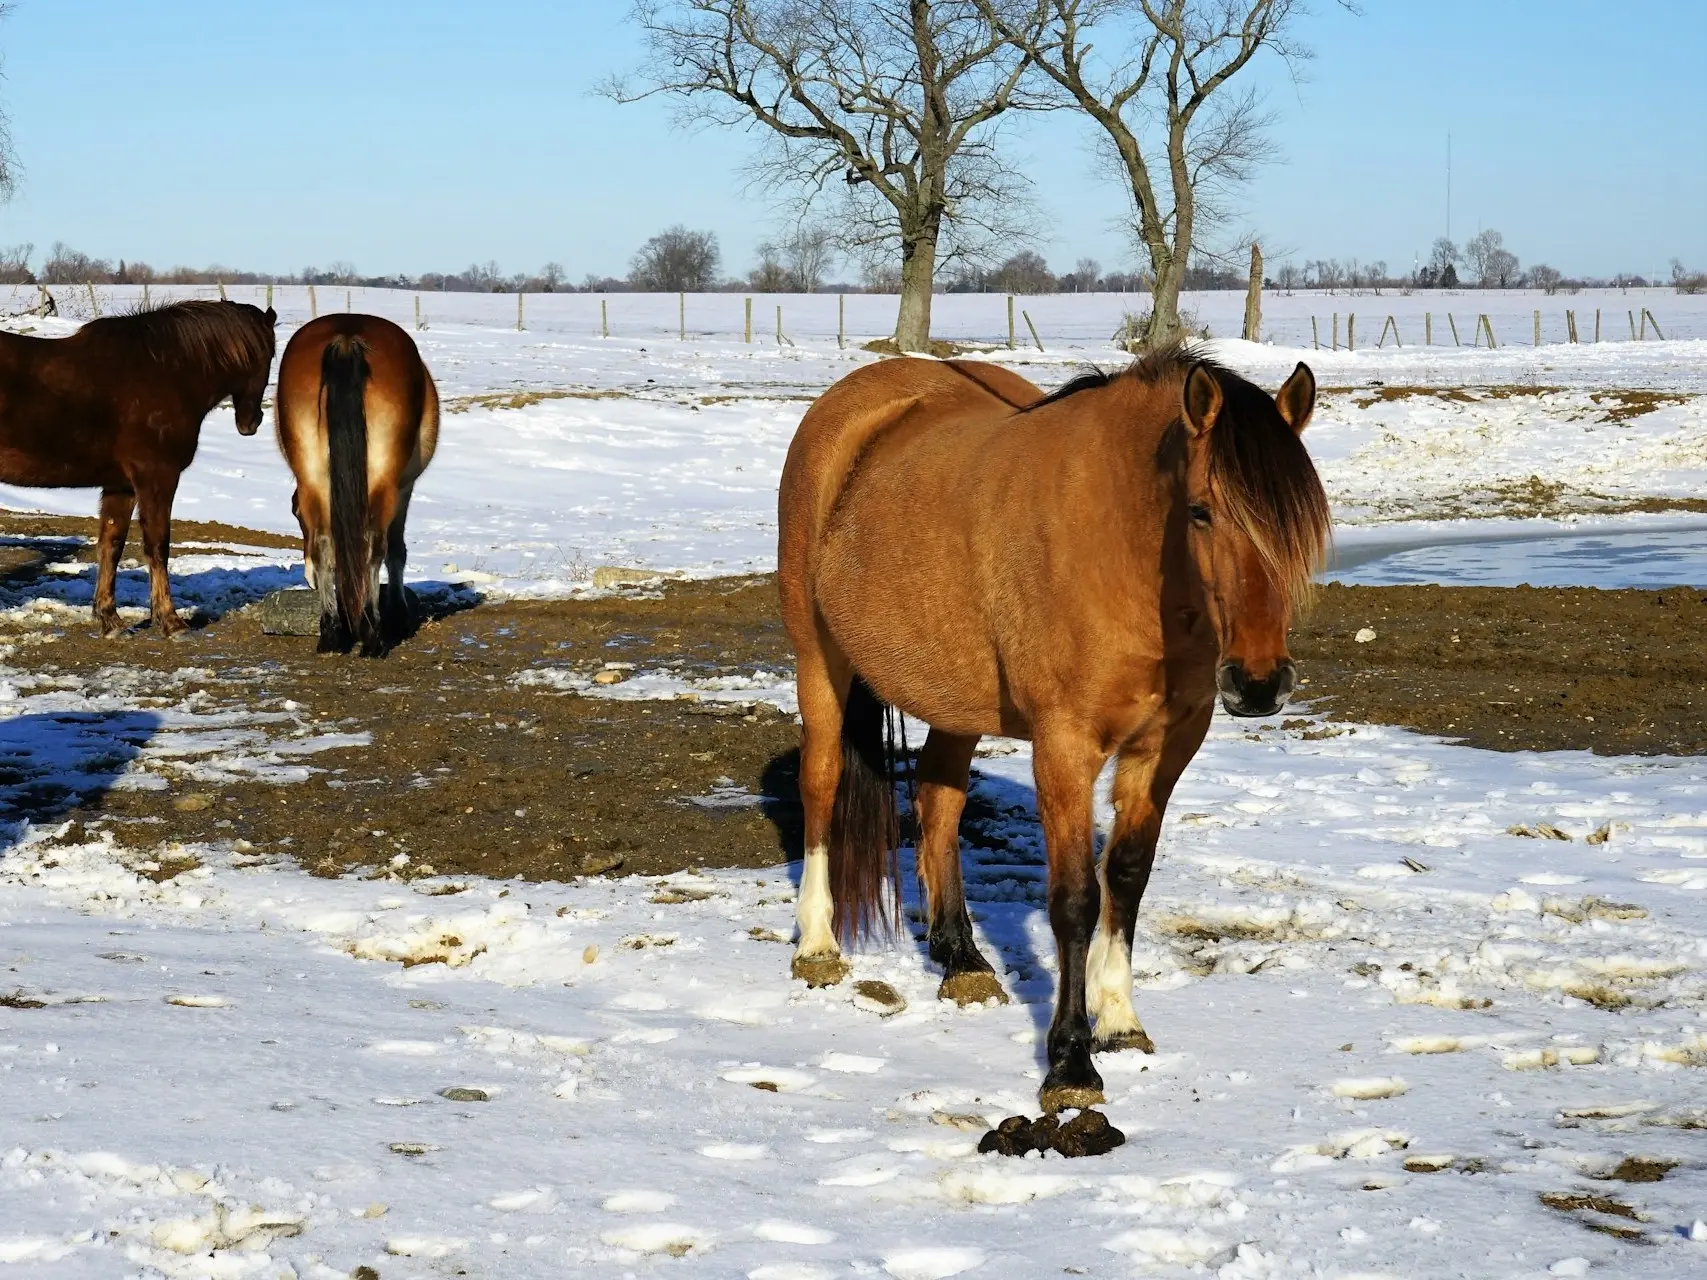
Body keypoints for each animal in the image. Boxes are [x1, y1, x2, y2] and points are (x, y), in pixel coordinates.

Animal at [0, 302, 274, 641]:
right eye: (268, 356)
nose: (252, 422)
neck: (165, 372)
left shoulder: (122, 486)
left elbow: (111, 545)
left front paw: (110, 620)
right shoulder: (156, 478)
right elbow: (157, 546)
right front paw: (171, 621)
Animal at [273, 314, 440, 655]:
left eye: (295, 516)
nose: (308, 580)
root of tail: (347, 337)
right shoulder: (404, 489)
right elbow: (396, 550)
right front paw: (398, 615)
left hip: (312, 478)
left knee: (325, 545)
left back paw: (331, 632)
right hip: (384, 482)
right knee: (373, 544)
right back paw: (373, 634)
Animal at [778, 346, 1331, 1119]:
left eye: (1299, 528)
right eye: (1201, 511)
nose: (1257, 684)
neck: (1124, 550)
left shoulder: (1166, 745)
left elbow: (1126, 876)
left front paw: (1119, 1020)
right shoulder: (1065, 746)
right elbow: (1073, 899)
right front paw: (1071, 1061)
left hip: (954, 696)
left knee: (938, 803)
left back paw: (960, 958)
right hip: (817, 658)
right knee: (822, 782)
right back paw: (819, 946)